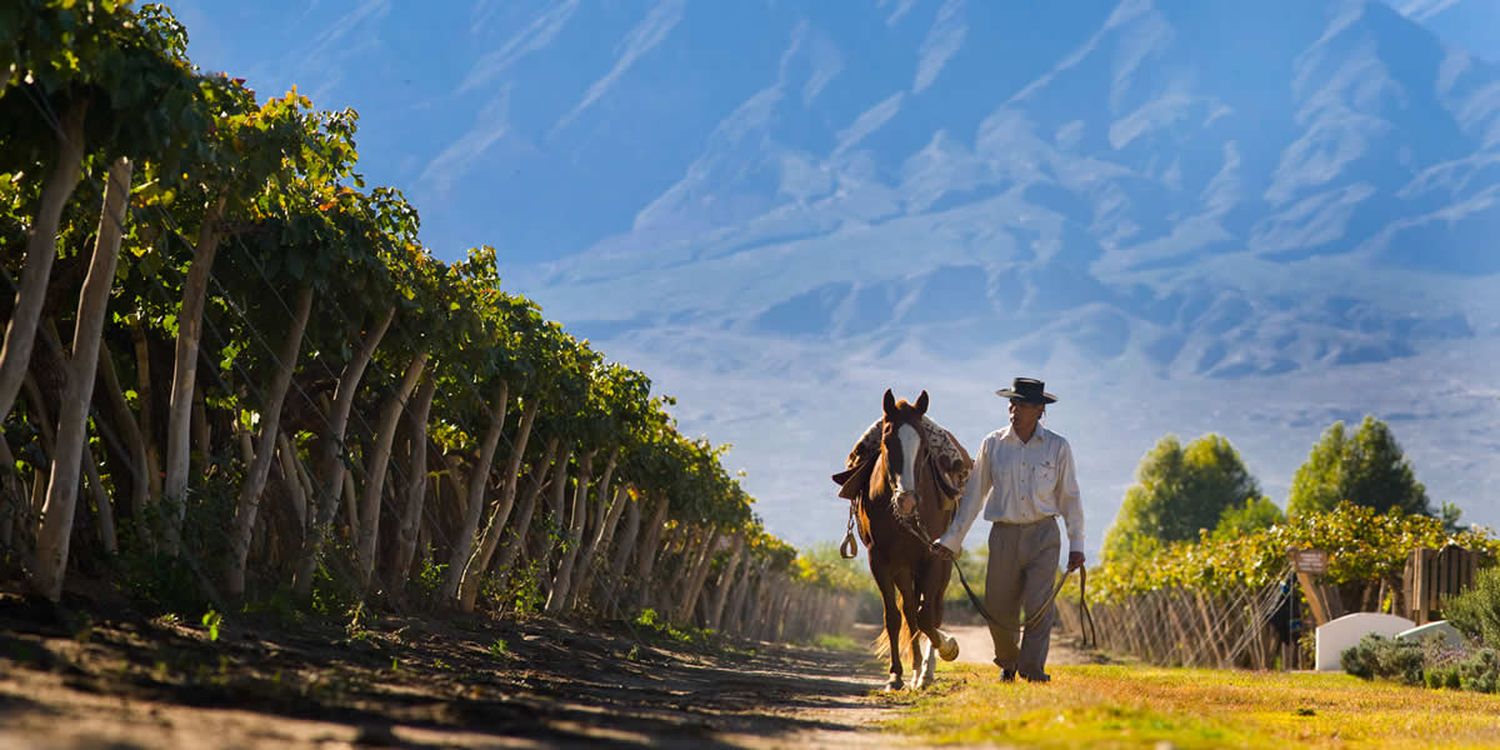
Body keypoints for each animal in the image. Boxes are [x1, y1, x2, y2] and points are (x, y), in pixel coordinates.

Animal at [834, 393, 972, 690]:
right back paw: (917, 669)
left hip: (940, 566)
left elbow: (927, 616)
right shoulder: (880, 560)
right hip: (904, 568)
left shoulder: (932, 557)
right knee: (909, 610)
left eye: (923, 447)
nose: (907, 501)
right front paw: (895, 675)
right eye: (887, 441)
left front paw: (949, 647)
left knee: (932, 609)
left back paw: (927, 671)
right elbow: (894, 617)